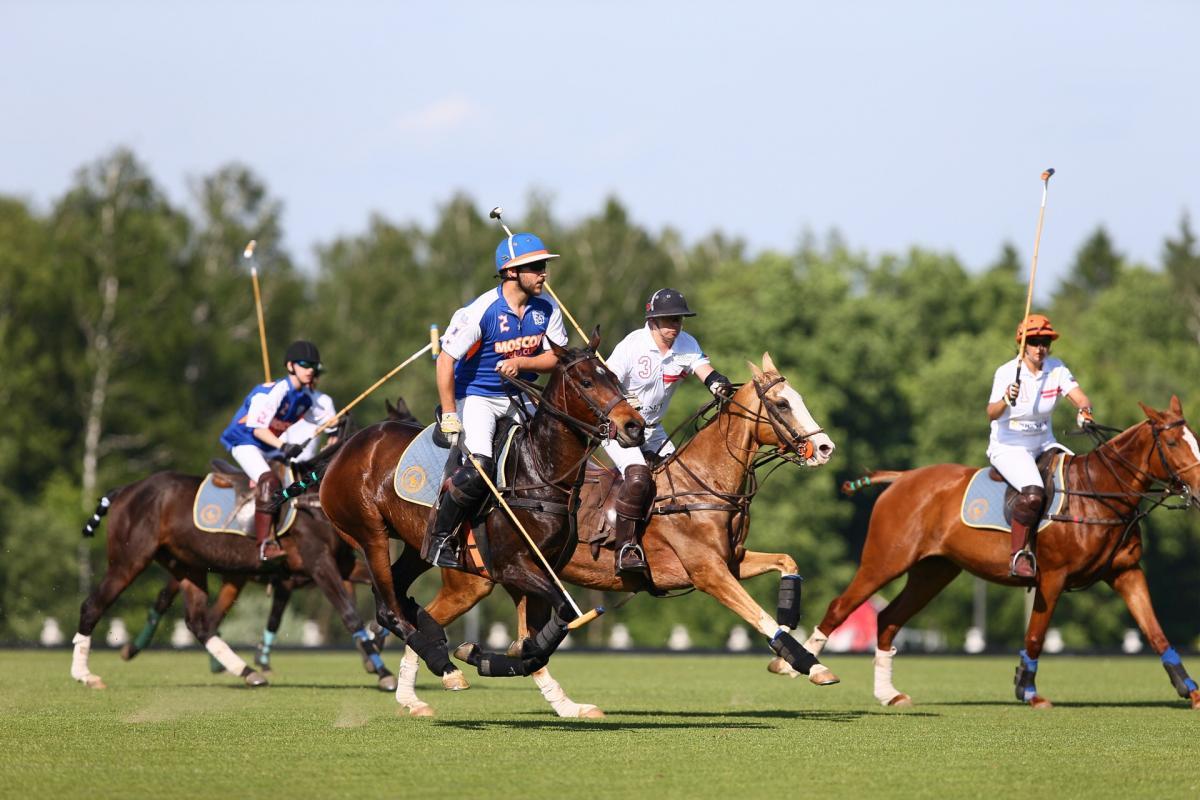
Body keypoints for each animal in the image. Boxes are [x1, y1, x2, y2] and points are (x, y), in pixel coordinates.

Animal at [71, 453, 388, 690]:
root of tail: (126, 489)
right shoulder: (318, 563)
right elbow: (348, 613)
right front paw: (384, 673)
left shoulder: (342, 564)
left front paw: (380, 642)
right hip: (130, 559)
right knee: (93, 605)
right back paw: (85, 674)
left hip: (189, 566)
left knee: (199, 622)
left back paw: (247, 672)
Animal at [314, 331, 643, 690]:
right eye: (586, 382)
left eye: (614, 378)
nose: (635, 426)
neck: (539, 472)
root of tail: (345, 449)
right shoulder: (511, 566)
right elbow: (562, 616)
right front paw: (481, 656)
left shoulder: (545, 566)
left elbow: (537, 642)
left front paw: (491, 657)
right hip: (369, 533)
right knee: (388, 609)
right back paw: (442, 663)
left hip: (417, 544)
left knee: (398, 593)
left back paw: (432, 633)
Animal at [388, 352, 840, 714]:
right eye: (782, 403)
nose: (825, 448)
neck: (702, 485)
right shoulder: (708, 572)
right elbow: (759, 616)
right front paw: (811, 665)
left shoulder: (732, 560)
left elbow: (787, 562)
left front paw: (789, 641)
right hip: (472, 582)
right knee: (422, 619)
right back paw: (421, 694)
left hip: (519, 579)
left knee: (510, 639)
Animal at [801, 398, 1200, 710]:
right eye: (1171, 441)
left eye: (1194, 438)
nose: (1197, 489)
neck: (1098, 494)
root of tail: (902, 478)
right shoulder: (1053, 577)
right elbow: (1035, 636)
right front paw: (1028, 691)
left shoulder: (1126, 572)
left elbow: (1156, 632)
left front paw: (1190, 691)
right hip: (885, 559)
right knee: (840, 607)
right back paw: (802, 666)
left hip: (934, 571)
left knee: (888, 619)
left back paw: (889, 694)